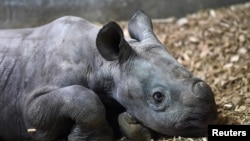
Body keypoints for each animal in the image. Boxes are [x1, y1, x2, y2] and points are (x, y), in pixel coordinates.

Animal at [0, 10, 217, 141]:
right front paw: (95, 138)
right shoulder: (29, 108)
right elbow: (84, 99)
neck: (102, 63)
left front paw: (131, 126)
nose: (209, 118)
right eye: (158, 97)